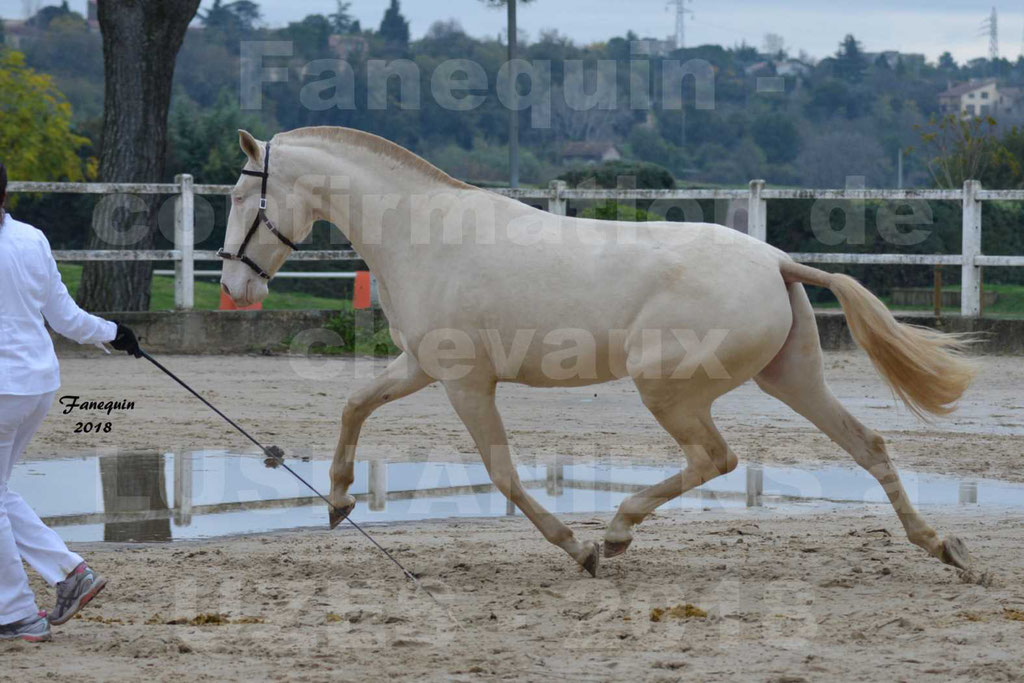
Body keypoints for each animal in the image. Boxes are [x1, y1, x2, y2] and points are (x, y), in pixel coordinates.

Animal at [222, 127, 974, 577]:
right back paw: (942, 545)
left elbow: (504, 474)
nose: (233, 287)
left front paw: (577, 547)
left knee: (717, 458)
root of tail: (777, 261)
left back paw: (614, 533)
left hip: (667, 388)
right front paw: (338, 500)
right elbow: (355, 404)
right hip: (791, 379)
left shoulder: (466, 383)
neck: (424, 235)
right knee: (867, 443)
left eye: (236, 195)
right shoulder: (421, 368)